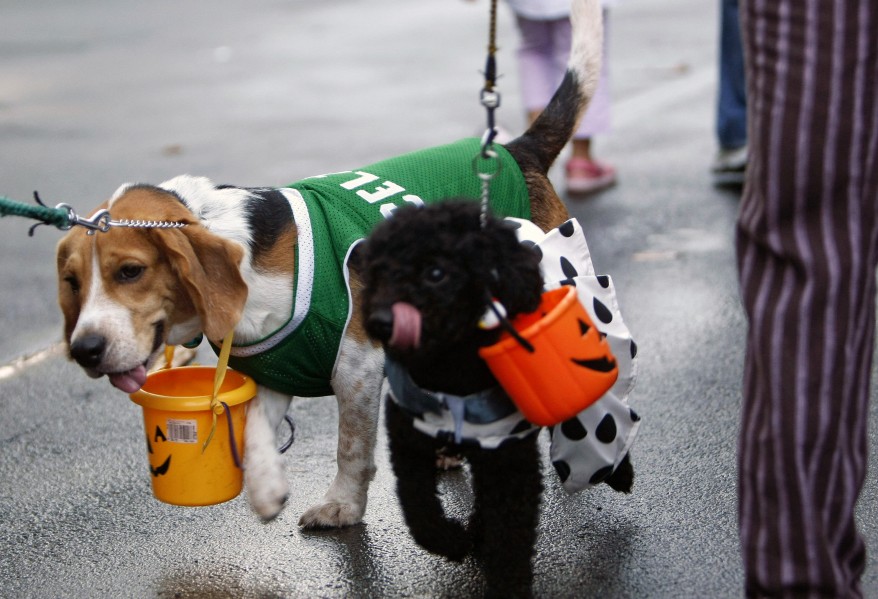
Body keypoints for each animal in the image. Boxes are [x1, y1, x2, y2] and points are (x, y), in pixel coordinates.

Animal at [55, 0, 604, 528]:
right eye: (73, 283)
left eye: (130, 271)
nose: (84, 350)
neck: (247, 258)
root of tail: (516, 150)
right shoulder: (275, 376)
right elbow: (254, 434)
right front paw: (267, 490)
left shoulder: (356, 368)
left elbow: (350, 449)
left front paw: (342, 506)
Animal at [358, 203, 632, 599]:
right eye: (378, 272)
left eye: (436, 273)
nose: (380, 321)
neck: (450, 374)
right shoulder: (409, 446)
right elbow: (418, 510)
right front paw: (453, 541)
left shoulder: (510, 463)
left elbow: (510, 536)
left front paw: (507, 583)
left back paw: (621, 471)